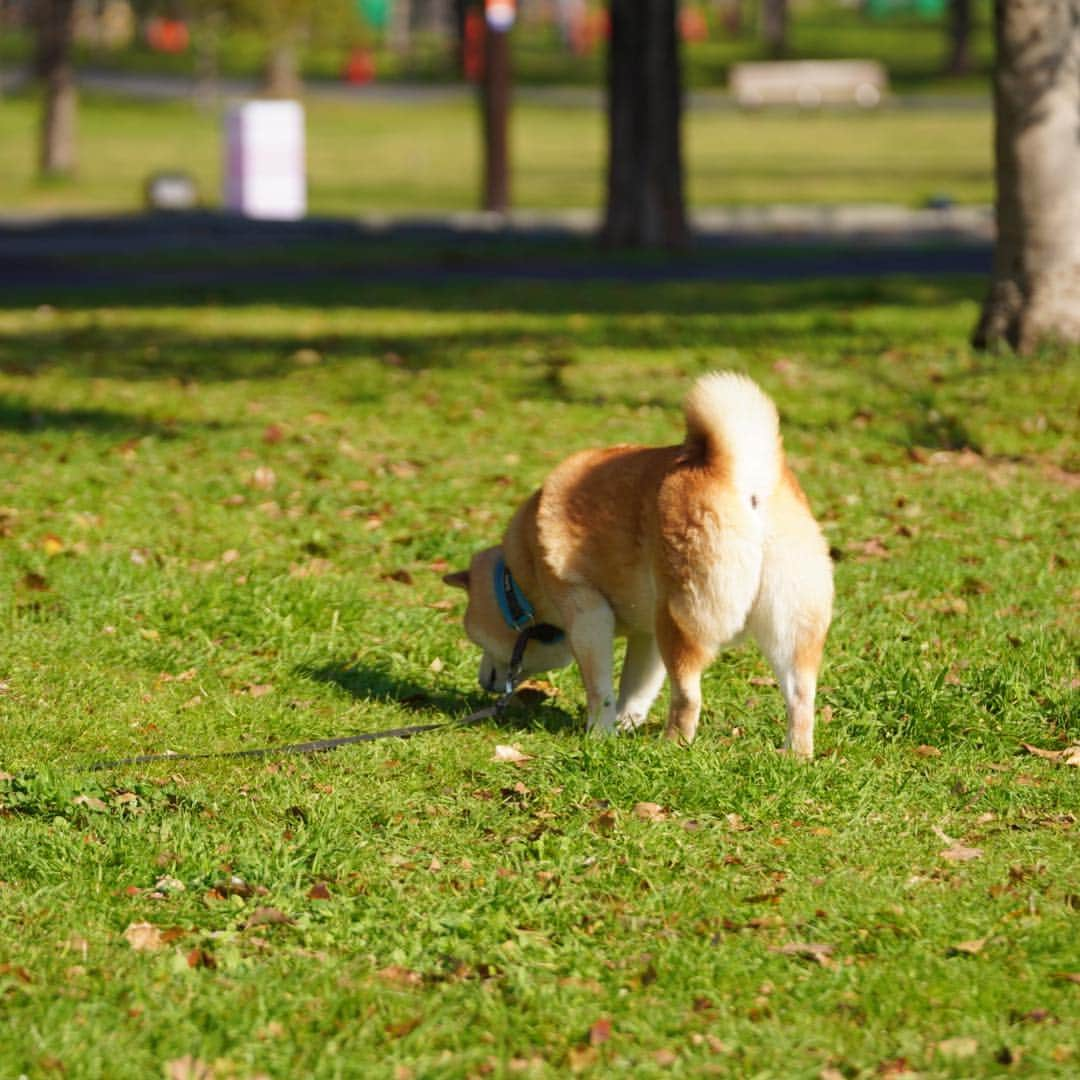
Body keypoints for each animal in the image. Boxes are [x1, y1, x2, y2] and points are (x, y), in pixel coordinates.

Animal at [442, 371, 829, 760]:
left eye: (478, 640)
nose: (485, 682)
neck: (523, 573)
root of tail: (740, 472)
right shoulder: (647, 636)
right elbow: (635, 688)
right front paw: (624, 726)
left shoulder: (587, 614)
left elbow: (600, 690)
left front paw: (599, 734)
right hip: (787, 629)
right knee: (800, 698)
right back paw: (796, 755)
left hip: (681, 621)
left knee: (688, 697)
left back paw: (672, 745)